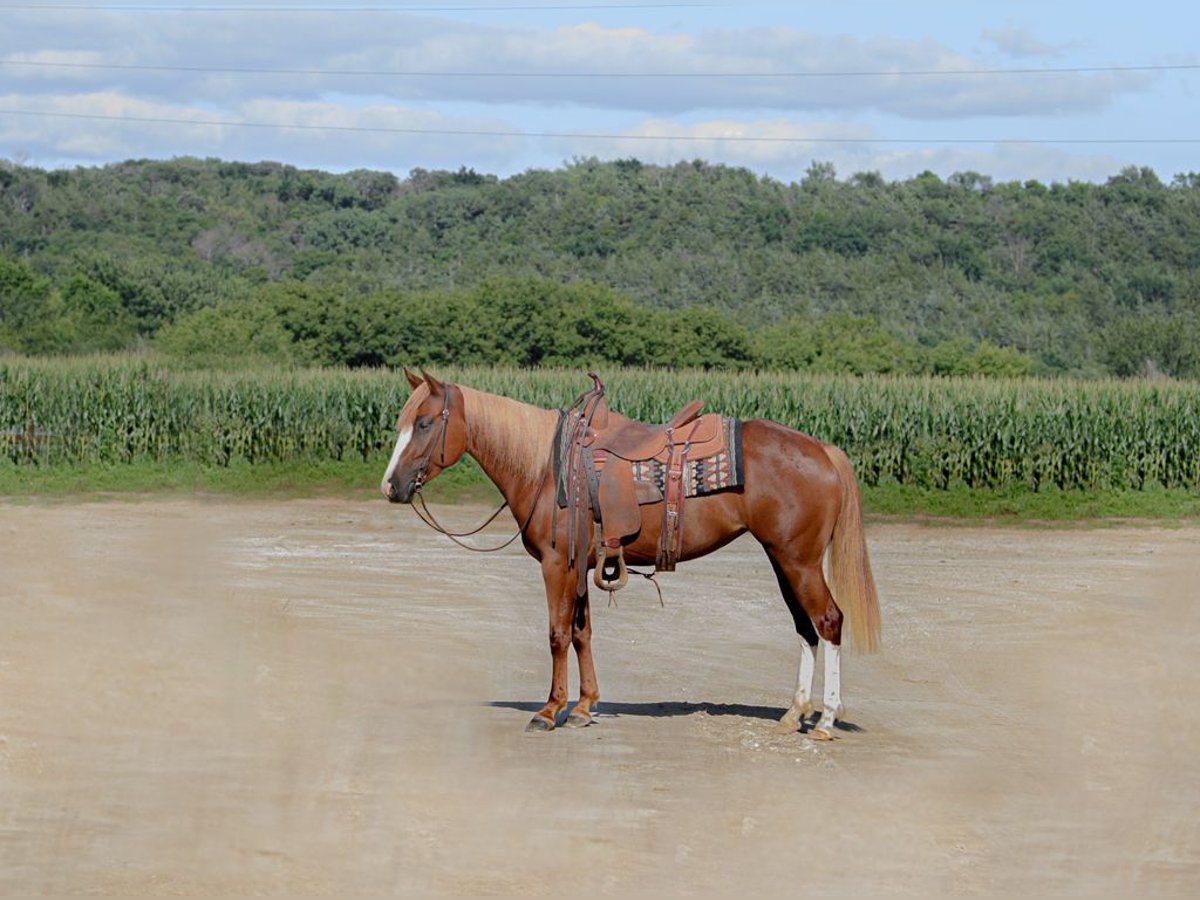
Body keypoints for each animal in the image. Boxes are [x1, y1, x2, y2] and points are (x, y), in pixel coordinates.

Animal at [381, 370, 882, 739]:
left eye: (424, 423)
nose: (391, 486)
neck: (546, 466)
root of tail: (822, 449)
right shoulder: (580, 565)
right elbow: (582, 633)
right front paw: (584, 707)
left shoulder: (556, 564)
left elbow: (557, 634)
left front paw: (549, 710)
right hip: (784, 560)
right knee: (805, 628)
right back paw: (794, 713)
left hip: (799, 561)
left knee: (829, 621)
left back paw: (826, 719)